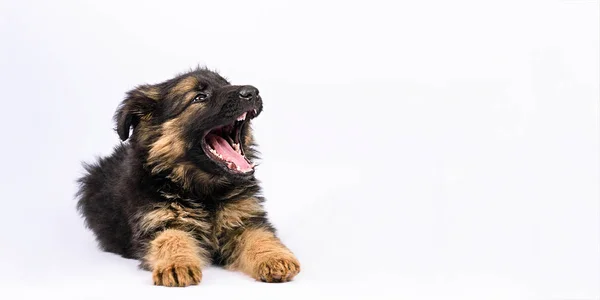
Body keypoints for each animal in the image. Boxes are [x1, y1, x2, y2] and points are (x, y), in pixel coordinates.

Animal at [76, 67, 300, 286]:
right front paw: (176, 265)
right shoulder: (159, 221)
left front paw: (275, 258)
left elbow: (259, 237)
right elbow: (172, 239)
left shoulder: (243, 220)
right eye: (199, 97)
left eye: (226, 84)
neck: (203, 190)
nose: (252, 92)